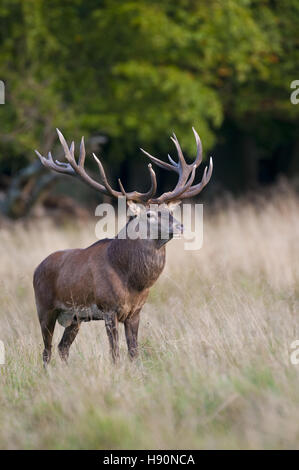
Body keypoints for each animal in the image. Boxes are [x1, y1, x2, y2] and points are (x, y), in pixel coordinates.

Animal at [34, 126, 213, 366]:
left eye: (170, 211)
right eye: (149, 214)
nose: (181, 226)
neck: (132, 281)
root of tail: (36, 269)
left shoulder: (135, 312)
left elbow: (134, 352)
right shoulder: (109, 309)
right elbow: (115, 355)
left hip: (75, 318)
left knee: (63, 348)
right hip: (44, 308)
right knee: (46, 351)